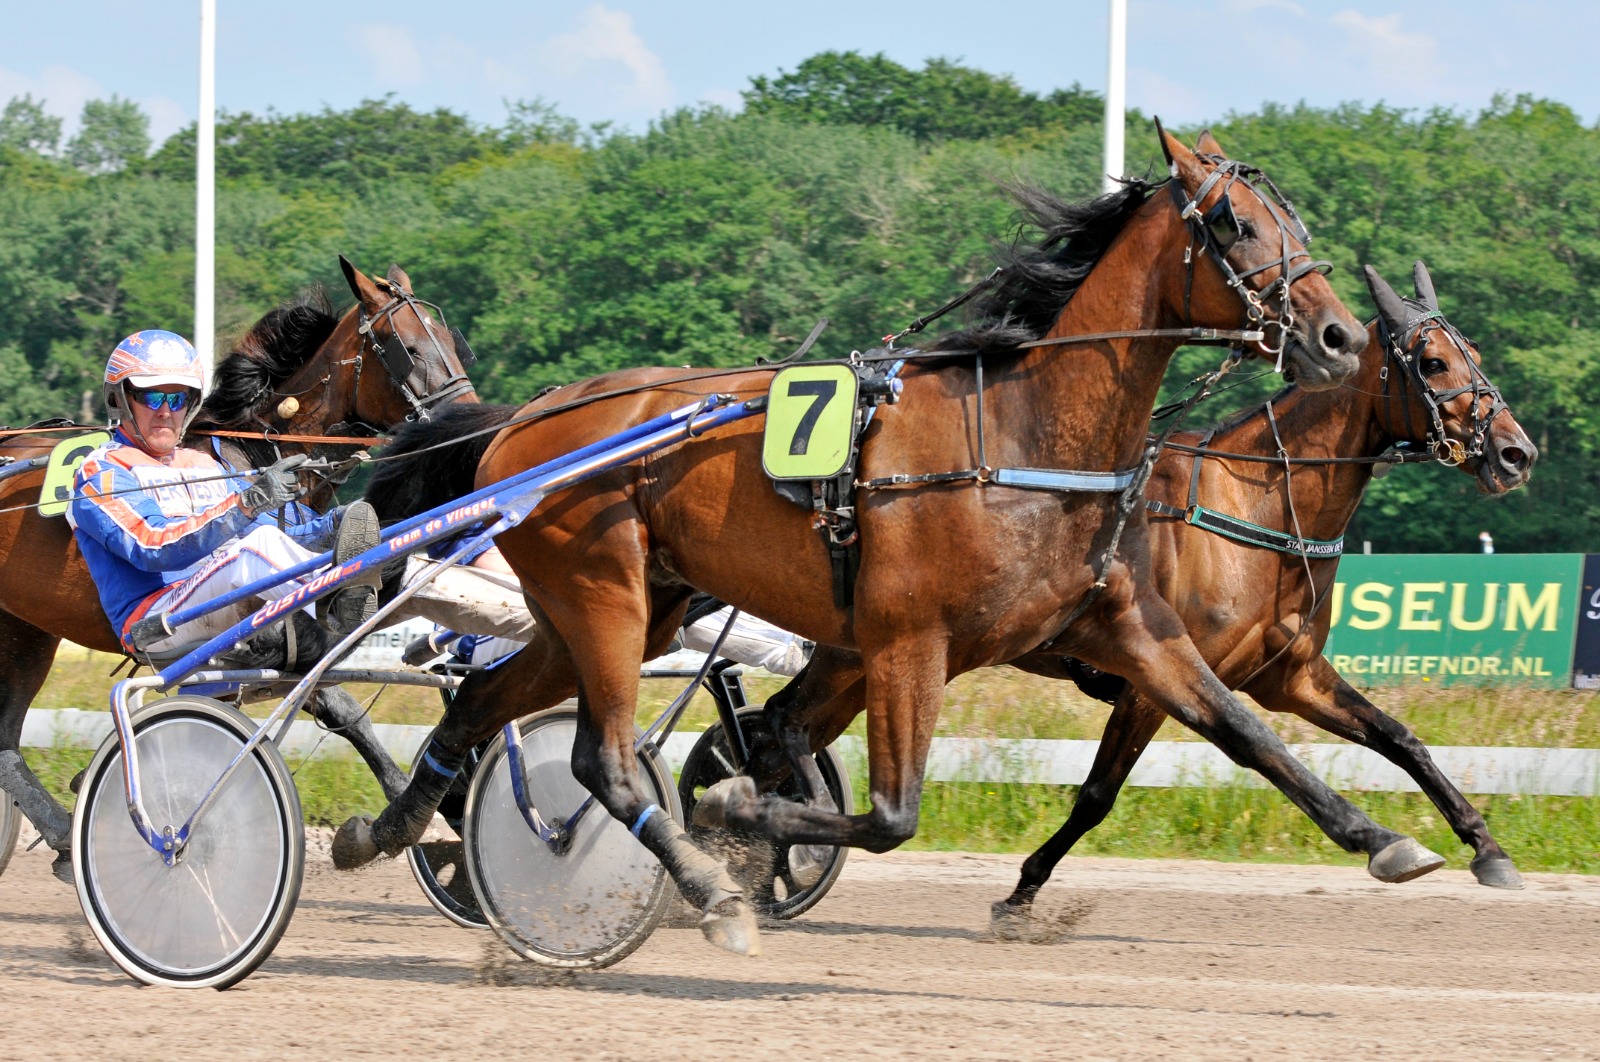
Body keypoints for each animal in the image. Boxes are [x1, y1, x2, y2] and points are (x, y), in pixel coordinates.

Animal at [0, 255, 477, 880]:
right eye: (408, 349)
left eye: (453, 341)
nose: (467, 418)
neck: (246, 456)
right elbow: (336, 699)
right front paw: (415, 807)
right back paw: (63, 834)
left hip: (27, 632)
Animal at [337, 126, 1433, 960]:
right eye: (1234, 223)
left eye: (1296, 224)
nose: (1338, 339)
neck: (1026, 437)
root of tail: (527, 419)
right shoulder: (910, 641)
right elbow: (890, 814)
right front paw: (737, 812)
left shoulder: (1123, 626)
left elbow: (1247, 733)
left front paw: (1387, 838)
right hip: (601, 592)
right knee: (602, 760)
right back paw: (713, 891)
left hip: (630, 610)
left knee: (481, 701)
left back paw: (379, 829)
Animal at [749, 260, 1538, 927]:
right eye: (1433, 361)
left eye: (1473, 352)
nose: (1516, 452)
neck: (1256, 510)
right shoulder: (1149, 679)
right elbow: (1103, 793)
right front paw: (1022, 891)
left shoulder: (1290, 678)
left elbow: (1400, 738)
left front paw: (1488, 850)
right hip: (873, 650)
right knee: (779, 727)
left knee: (785, 726)